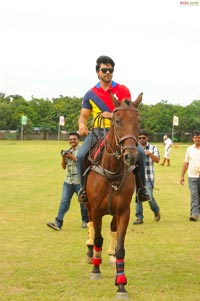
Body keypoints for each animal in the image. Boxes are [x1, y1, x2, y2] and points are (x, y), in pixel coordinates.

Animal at [84, 93, 142, 298]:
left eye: (138, 121)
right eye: (117, 121)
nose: (131, 157)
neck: (113, 170)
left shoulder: (123, 211)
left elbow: (121, 247)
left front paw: (121, 284)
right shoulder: (96, 209)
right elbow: (98, 237)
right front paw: (95, 269)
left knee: (112, 229)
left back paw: (109, 256)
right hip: (88, 205)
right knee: (91, 226)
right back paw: (90, 253)